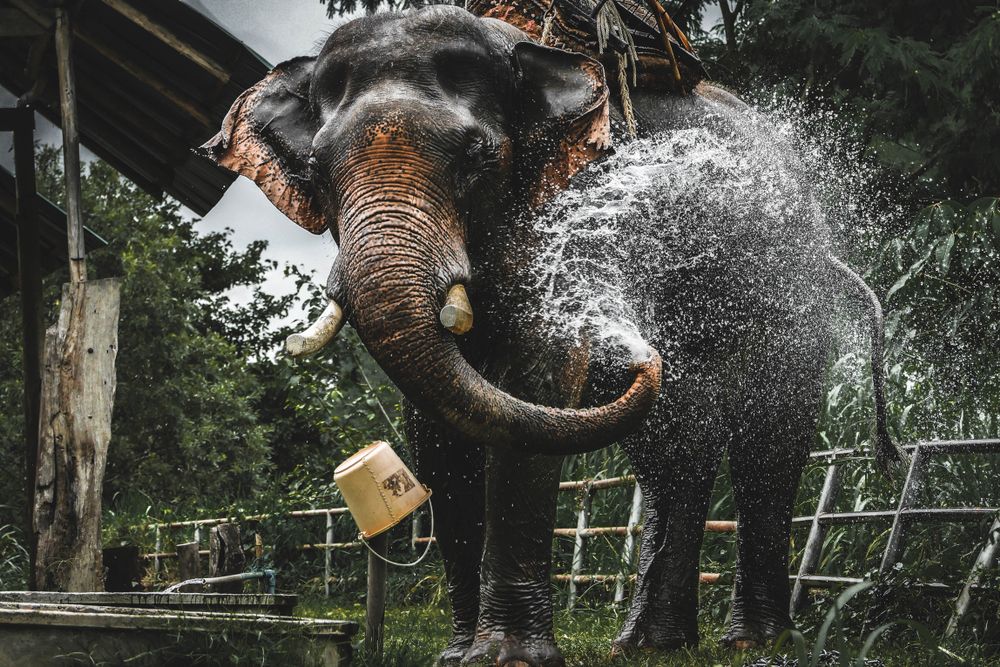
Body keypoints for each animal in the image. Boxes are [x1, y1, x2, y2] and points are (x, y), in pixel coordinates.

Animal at [199, 4, 904, 664]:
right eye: (317, 170)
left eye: (477, 156)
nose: (641, 351)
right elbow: (439, 429)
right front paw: (456, 655)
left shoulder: (573, 205)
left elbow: (536, 379)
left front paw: (507, 658)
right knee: (676, 449)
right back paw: (648, 645)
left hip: (788, 288)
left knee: (767, 440)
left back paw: (752, 642)